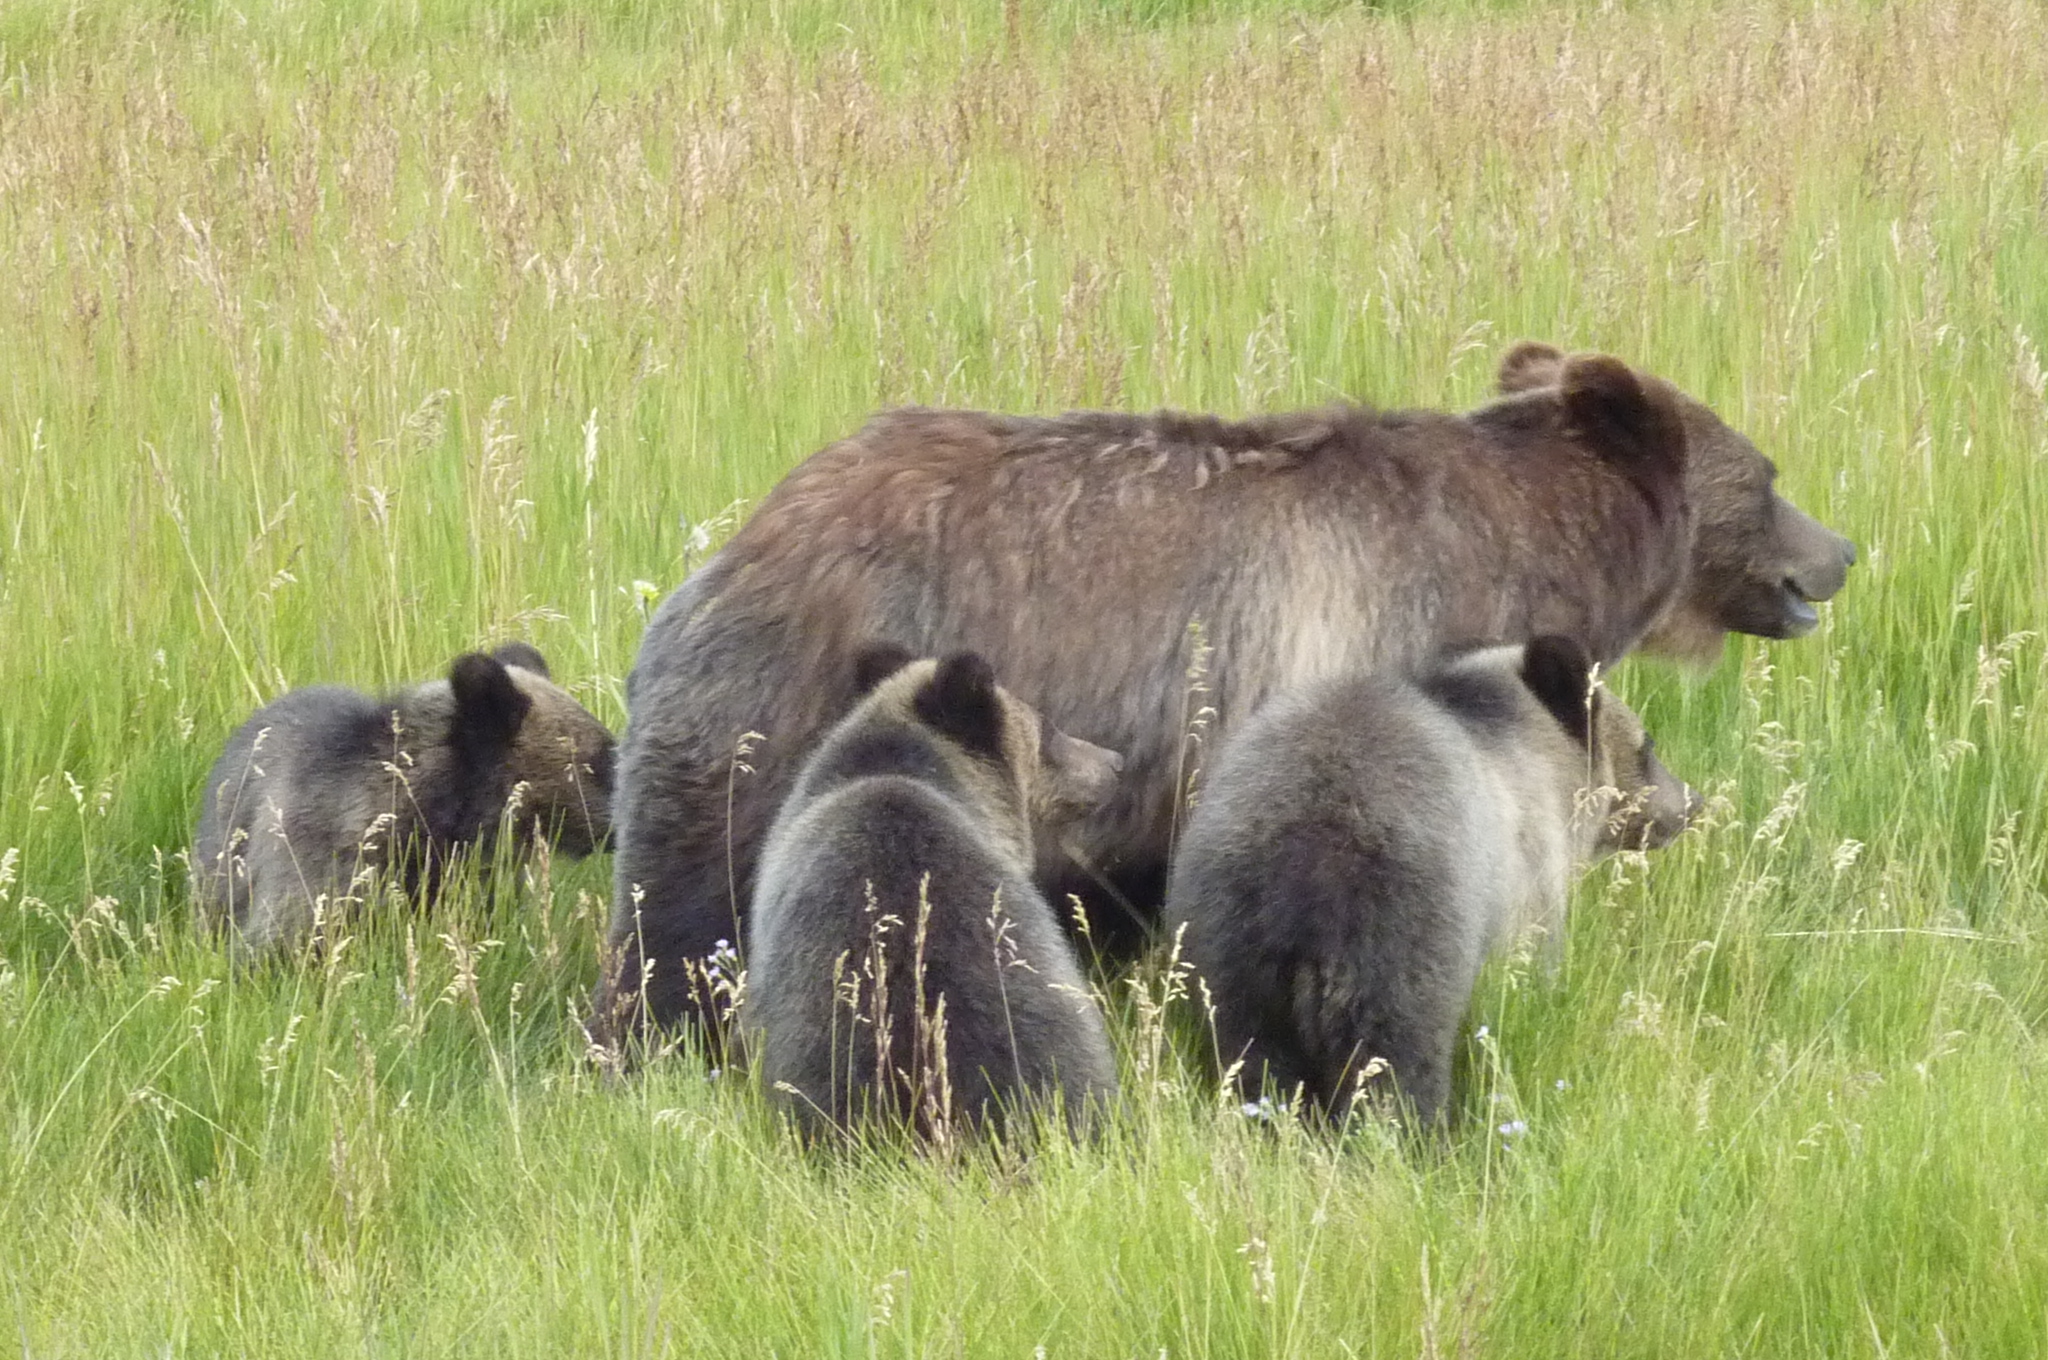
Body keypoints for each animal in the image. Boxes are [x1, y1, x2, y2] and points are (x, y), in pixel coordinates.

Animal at [593, 348, 1859, 1040]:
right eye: (1768, 475)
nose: (1839, 551)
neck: (1523, 555)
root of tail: (734, 547)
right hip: (765, 716)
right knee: (687, 910)